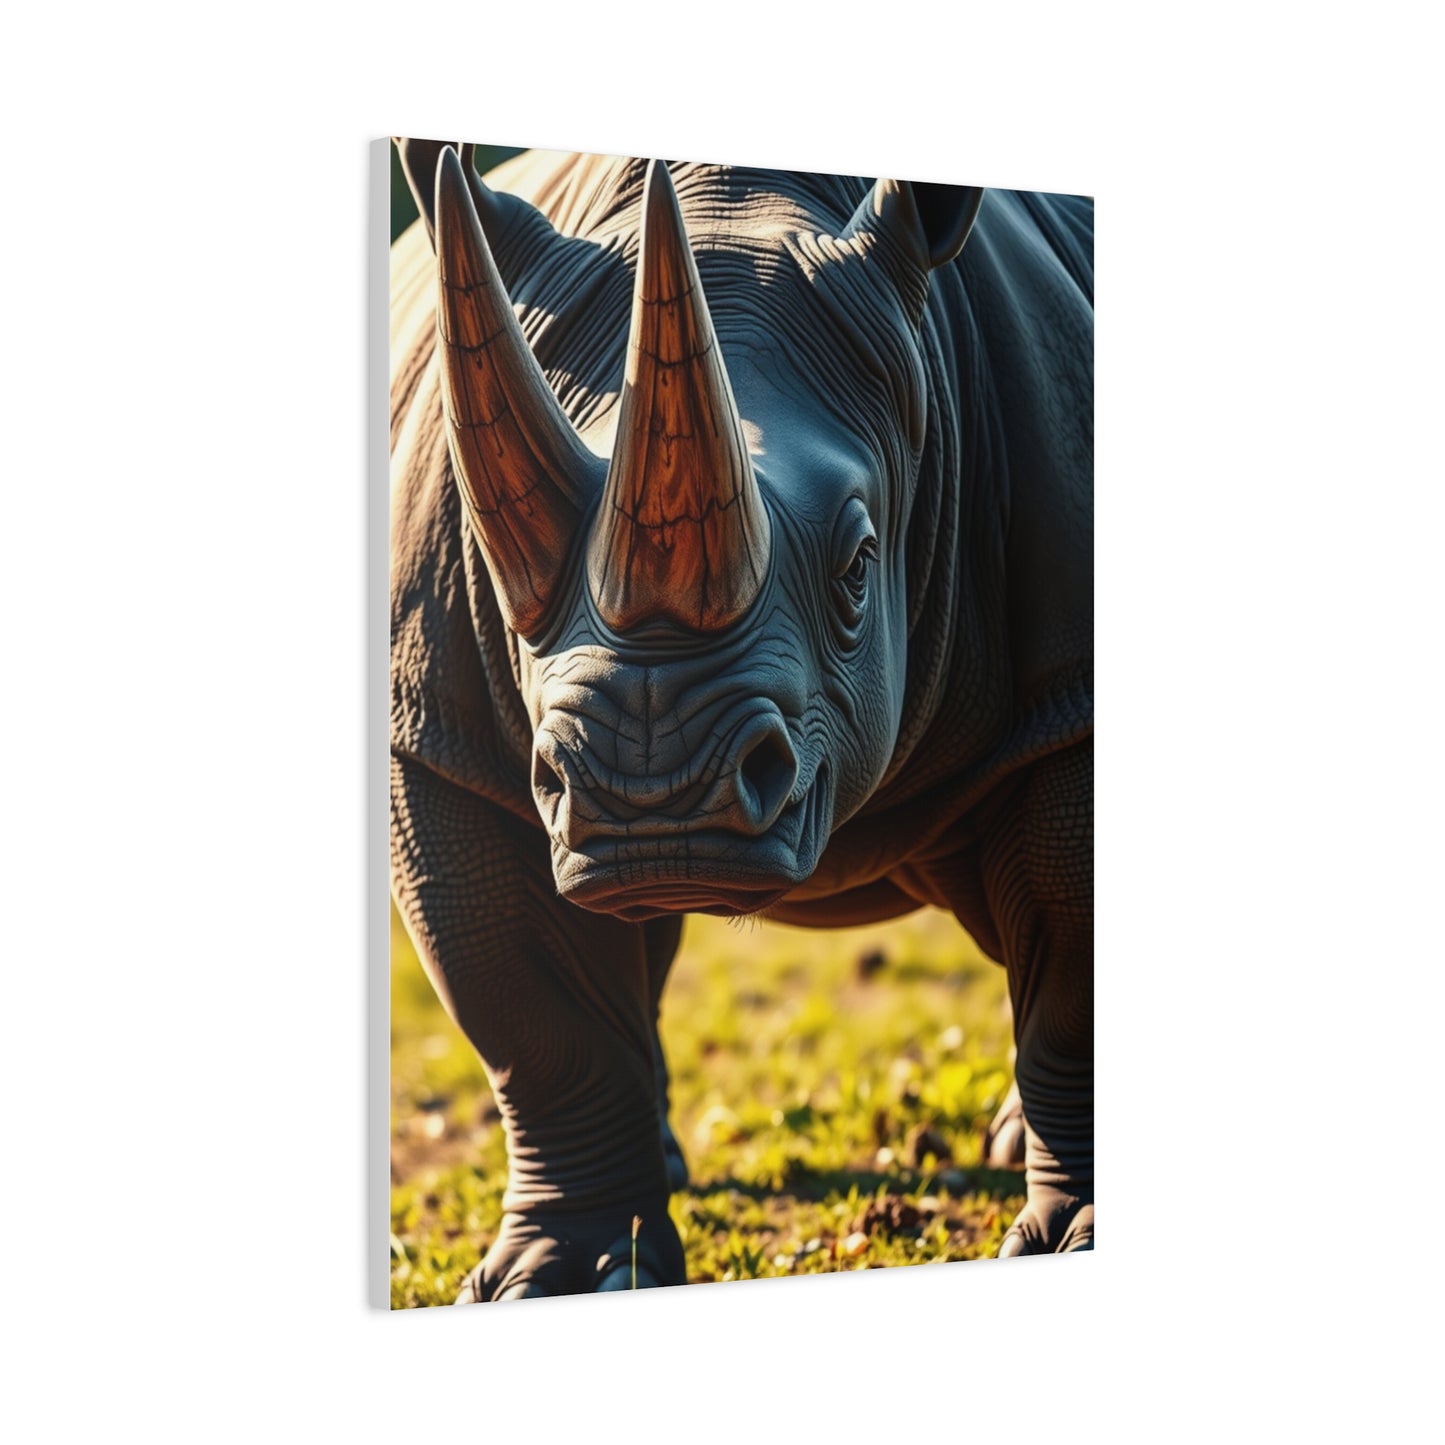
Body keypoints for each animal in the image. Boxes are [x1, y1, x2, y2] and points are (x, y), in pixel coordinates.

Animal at [389, 138, 1093, 1300]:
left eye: (858, 563)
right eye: (499, 569)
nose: (649, 799)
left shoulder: (1067, 690)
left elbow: (1071, 950)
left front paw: (1076, 1236)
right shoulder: (439, 738)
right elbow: (534, 1011)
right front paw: (565, 1275)